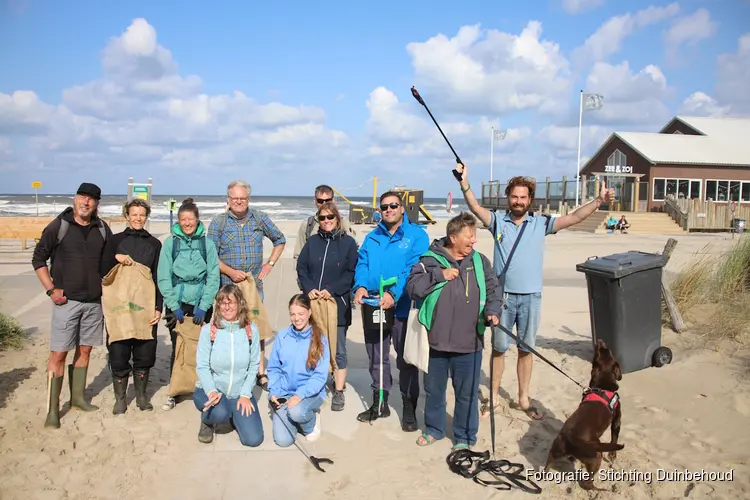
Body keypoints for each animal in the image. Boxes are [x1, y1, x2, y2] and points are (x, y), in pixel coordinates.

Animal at [544, 338, 624, 490]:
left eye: (602, 350)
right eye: (606, 351)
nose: (600, 339)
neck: (602, 384)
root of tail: (571, 439)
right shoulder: (616, 420)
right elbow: (614, 438)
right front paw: (612, 454)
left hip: (555, 450)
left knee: (547, 464)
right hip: (596, 457)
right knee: (587, 483)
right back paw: (601, 489)